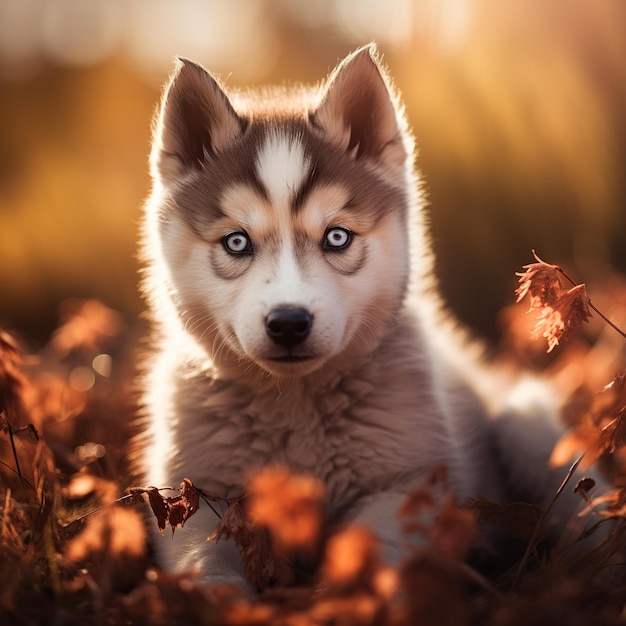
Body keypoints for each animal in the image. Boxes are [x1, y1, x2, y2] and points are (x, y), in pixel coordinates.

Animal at [140, 45, 596, 584]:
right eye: (236, 242)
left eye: (337, 237)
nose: (289, 322)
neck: (295, 405)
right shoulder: (197, 504)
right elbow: (206, 570)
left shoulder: (405, 487)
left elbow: (368, 552)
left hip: (525, 423)